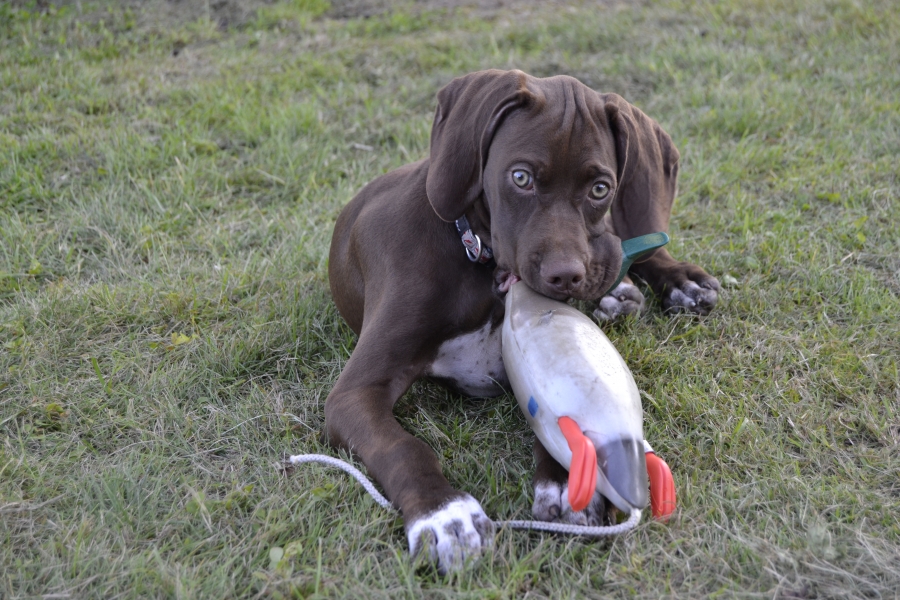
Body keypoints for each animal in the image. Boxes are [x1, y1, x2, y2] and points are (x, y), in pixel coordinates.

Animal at [325, 69, 719, 572]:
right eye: (521, 178)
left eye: (600, 188)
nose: (564, 277)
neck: (480, 261)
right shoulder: (354, 393)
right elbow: (402, 447)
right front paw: (444, 514)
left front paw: (567, 483)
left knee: (634, 240)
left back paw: (672, 282)